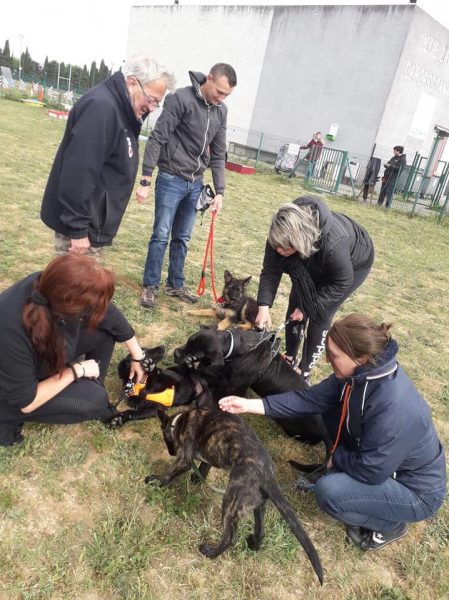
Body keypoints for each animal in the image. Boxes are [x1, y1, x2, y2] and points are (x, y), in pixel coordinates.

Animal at [149, 406, 324, 584]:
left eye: (166, 440)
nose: (171, 453)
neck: (179, 422)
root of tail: (267, 475)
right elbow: (205, 466)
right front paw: (197, 478)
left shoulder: (184, 459)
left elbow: (168, 475)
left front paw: (154, 481)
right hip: (257, 505)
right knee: (261, 531)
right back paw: (253, 544)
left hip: (231, 501)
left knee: (230, 537)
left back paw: (210, 552)